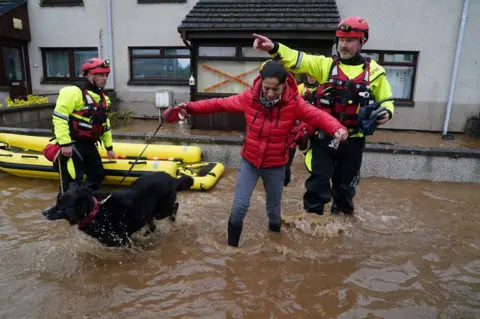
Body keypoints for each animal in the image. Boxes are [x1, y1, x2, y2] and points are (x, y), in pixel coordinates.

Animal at [41, 172, 193, 248]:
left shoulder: (122, 241)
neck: (96, 211)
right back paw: (147, 234)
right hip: (147, 213)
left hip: (161, 211)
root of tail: (172, 178)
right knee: (153, 225)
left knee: (175, 206)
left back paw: (172, 220)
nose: (43, 212)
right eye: (57, 201)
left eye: (62, 207)